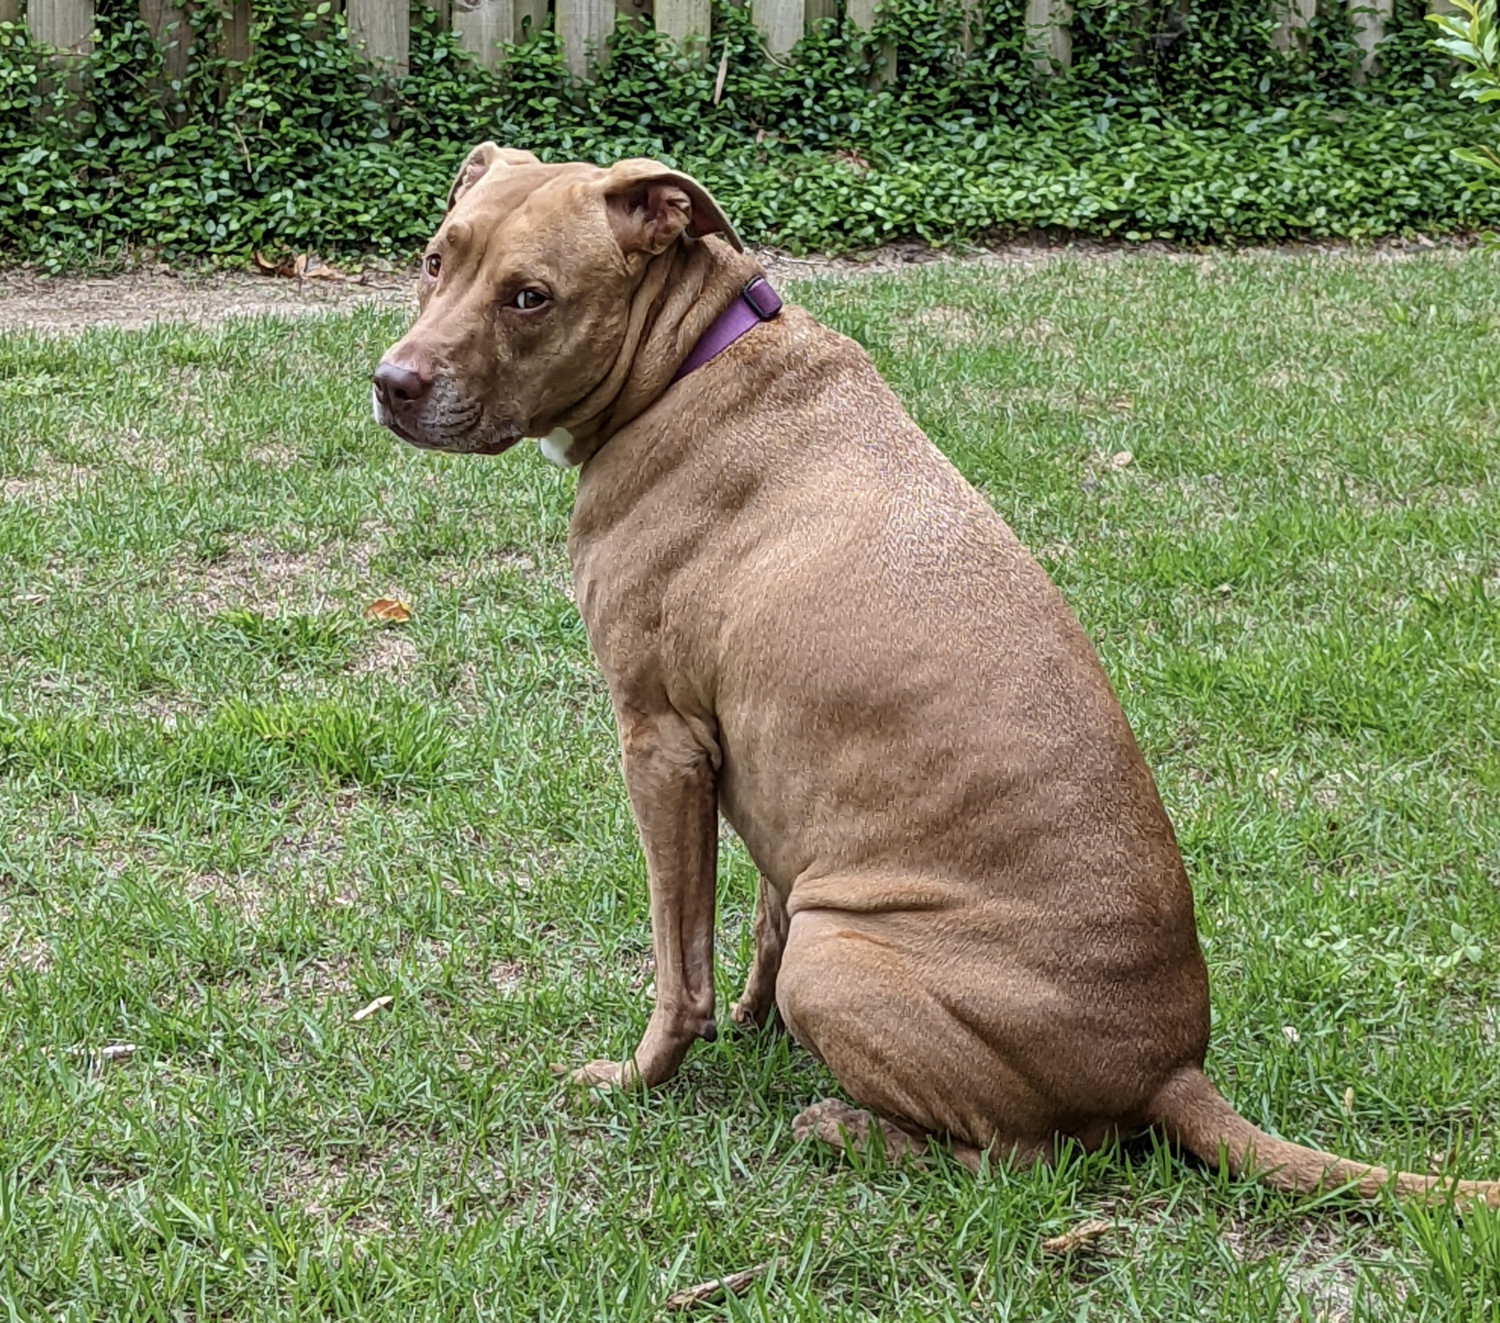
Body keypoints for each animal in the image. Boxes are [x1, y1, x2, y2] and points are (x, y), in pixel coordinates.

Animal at [375, 139, 1500, 1200]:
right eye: (435, 259)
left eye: (531, 297)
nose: (391, 383)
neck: (692, 356)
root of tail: (1171, 1069)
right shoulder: (767, 782)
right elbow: (757, 922)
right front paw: (747, 1025)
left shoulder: (660, 745)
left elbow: (676, 961)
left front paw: (641, 1076)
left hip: (843, 958)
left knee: (1027, 1155)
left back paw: (851, 1129)